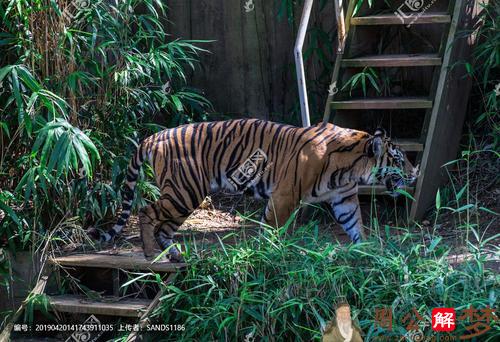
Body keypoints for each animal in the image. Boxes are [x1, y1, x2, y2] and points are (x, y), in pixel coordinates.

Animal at [92, 119, 420, 260]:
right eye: (399, 159)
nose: (415, 174)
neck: (350, 168)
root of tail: (154, 136)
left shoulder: (344, 198)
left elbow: (355, 223)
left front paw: (367, 249)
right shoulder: (285, 195)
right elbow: (273, 228)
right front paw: (270, 253)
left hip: (184, 195)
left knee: (165, 226)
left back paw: (173, 255)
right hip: (184, 190)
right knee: (146, 212)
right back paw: (151, 255)